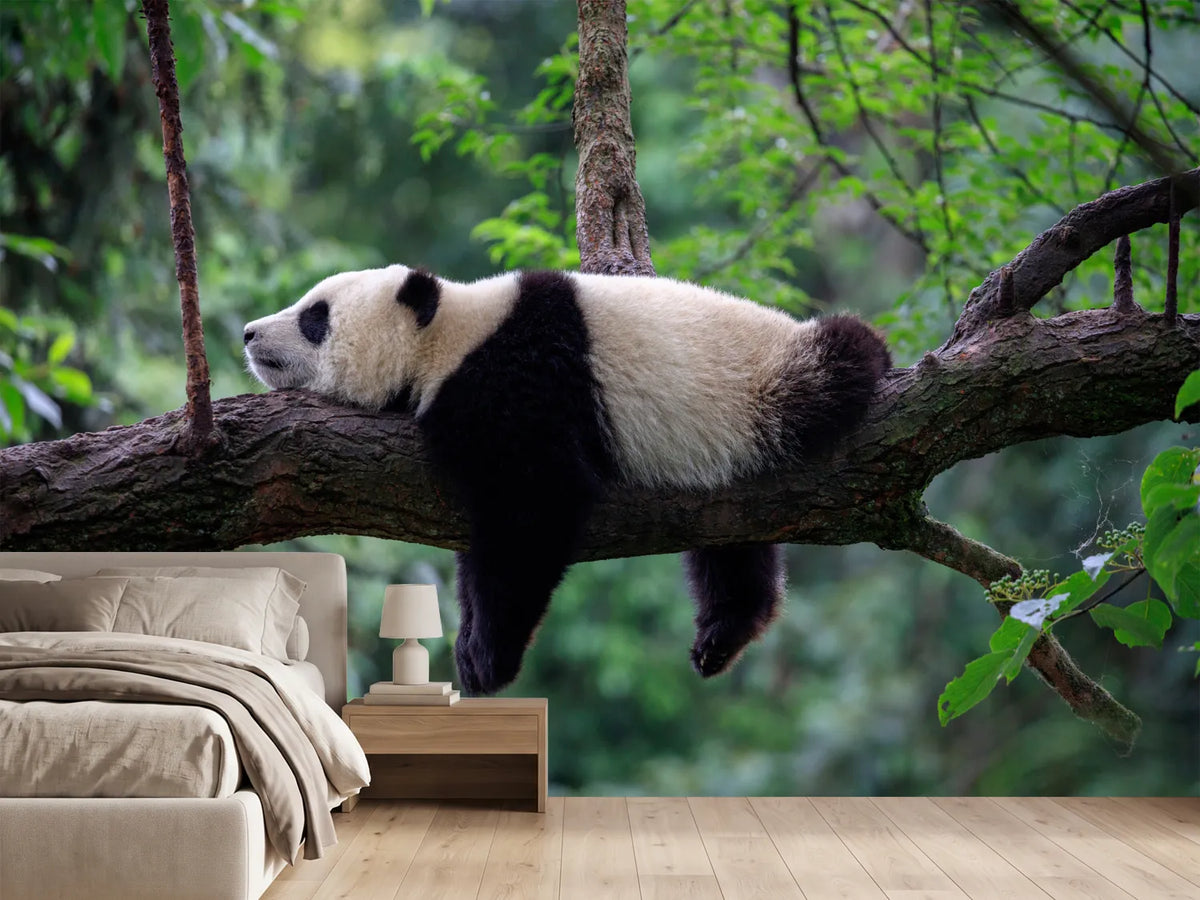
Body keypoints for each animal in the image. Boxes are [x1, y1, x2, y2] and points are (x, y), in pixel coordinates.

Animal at [244, 265, 890, 695]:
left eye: (315, 316)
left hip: (765, 388)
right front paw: (470, 642)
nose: (249, 333)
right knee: (730, 545)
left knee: (838, 363)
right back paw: (723, 634)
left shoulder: (521, 380)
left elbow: (534, 509)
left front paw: (487, 658)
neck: (449, 335)